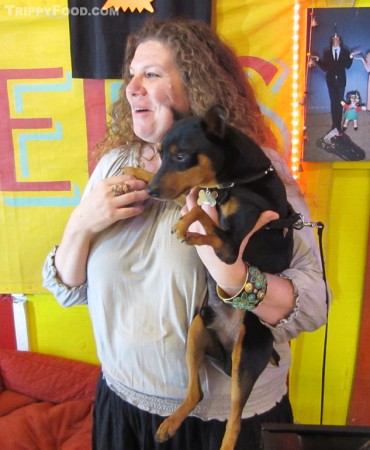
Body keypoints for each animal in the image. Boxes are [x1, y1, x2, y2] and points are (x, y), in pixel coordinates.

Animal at [124, 106, 298, 450]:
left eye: (181, 156)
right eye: (160, 155)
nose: (150, 193)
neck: (236, 181)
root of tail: (228, 347)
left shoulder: (231, 250)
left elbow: (204, 216)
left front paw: (185, 228)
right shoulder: (190, 193)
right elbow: (194, 200)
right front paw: (135, 172)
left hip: (246, 355)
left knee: (234, 420)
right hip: (197, 331)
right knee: (196, 392)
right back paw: (171, 423)